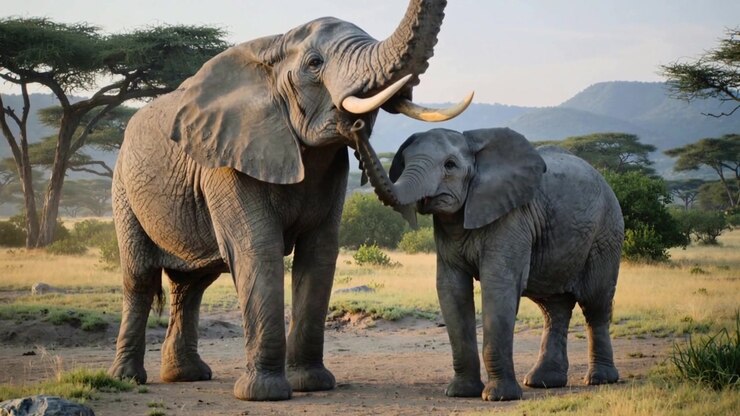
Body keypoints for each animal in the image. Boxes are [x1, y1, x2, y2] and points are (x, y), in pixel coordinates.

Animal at [107, 0, 473, 401]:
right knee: (140, 278)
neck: (273, 48)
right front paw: (264, 394)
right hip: (123, 188)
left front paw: (312, 384)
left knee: (192, 285)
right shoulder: (227, 162)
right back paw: (127, 378)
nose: (356, 127)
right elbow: (258, 249)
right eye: (314, 64)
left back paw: (187, 375)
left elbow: (319, 253)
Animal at [388, 127, 624, 401]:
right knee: (554, 308)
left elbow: (498, 285)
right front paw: (461, 393)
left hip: (606, 233)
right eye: (404, 162)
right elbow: (451, 289)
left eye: (450, 165)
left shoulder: (511, 217)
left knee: (595, 303)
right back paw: (543, 382)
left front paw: (499, 397)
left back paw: (600, 379)